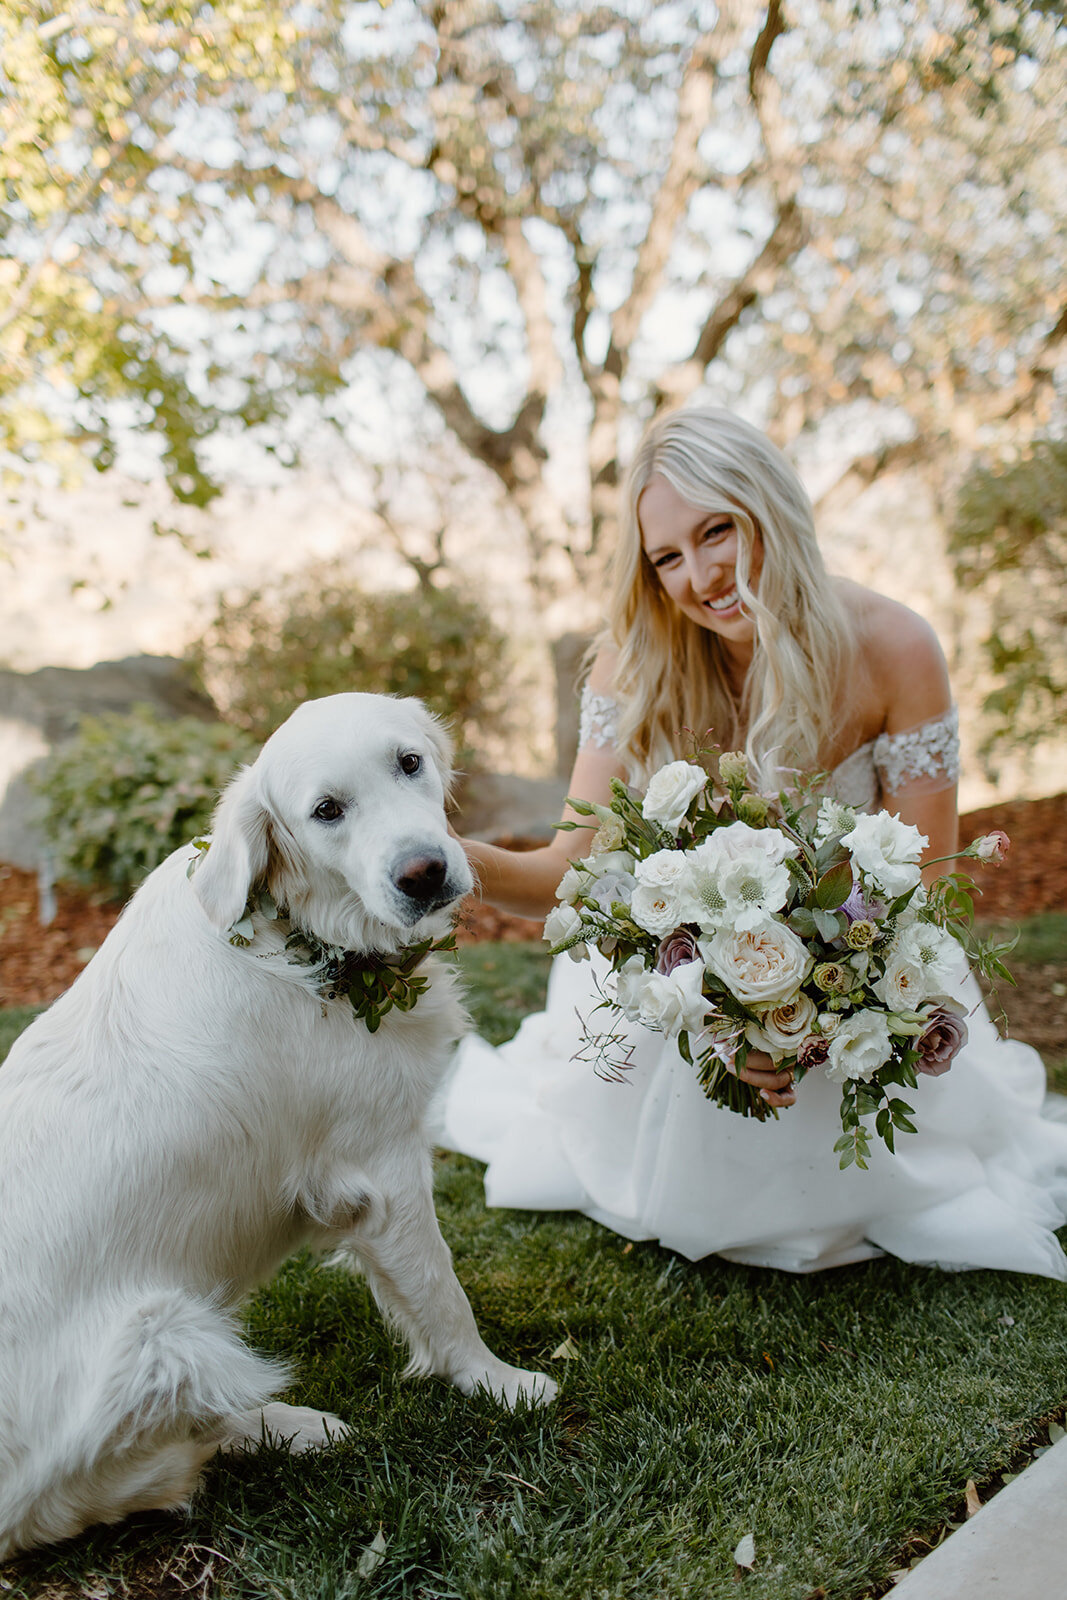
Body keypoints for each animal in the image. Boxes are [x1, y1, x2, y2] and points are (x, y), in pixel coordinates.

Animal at [0, 694, 556, 1555]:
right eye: (326, 811)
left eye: (409, 763)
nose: (424, 872)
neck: (295, 935)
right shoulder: (382, 1169)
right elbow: (442, 1292)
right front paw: (496, 1382)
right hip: (165, 1334)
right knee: (127, 1480)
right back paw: (293, 1427)